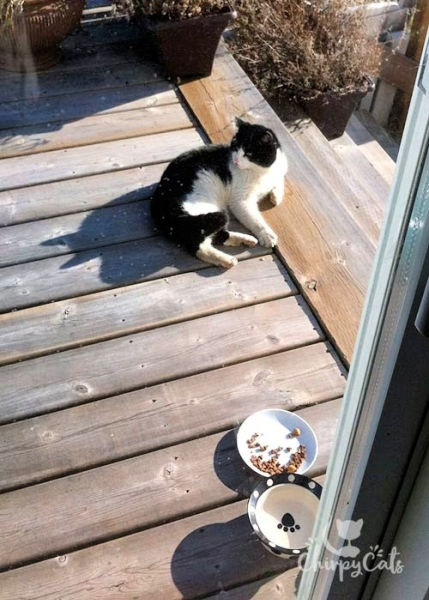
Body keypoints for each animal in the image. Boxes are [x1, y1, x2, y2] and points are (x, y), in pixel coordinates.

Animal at [150, 117, 288, 268]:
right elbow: (255, 219)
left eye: (249, 154)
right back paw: (227, 260)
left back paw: (244, 240)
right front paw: (267, 235)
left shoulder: (279, 171)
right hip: (199, 212)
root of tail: (157, 206)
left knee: (216, 236)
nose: (236, 160)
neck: (263, 172)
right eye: (235, 148)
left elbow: (279, 181)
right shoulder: (240, 201)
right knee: (197, 244)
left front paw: (276, 196)